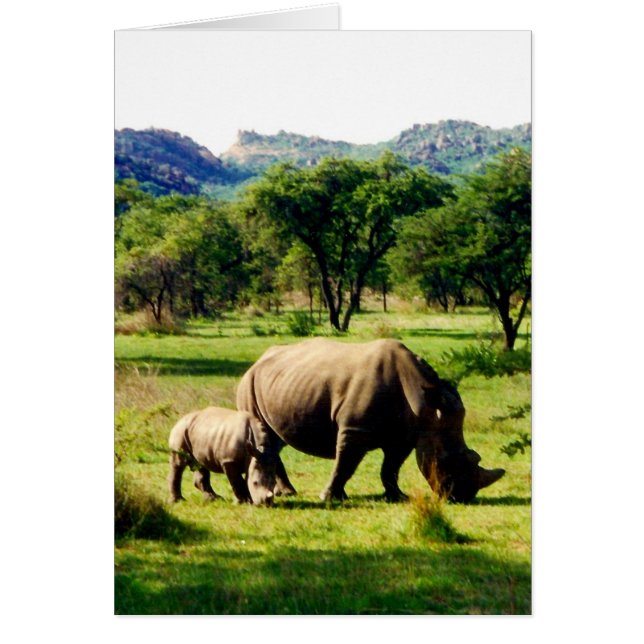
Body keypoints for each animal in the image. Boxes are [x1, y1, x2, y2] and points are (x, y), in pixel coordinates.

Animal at [236, 338, 505, 503]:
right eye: (447, 460)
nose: (463, 496)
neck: (425, 405)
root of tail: (257, 361)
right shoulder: (355, 429)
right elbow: (345, 464)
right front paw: (329, 497)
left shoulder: (404, 434)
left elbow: (391, 467)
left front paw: (397, 497)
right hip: (249, 383)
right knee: (265, 435)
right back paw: (289, 493)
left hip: (281, 383)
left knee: (277, 439)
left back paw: (286, 491)